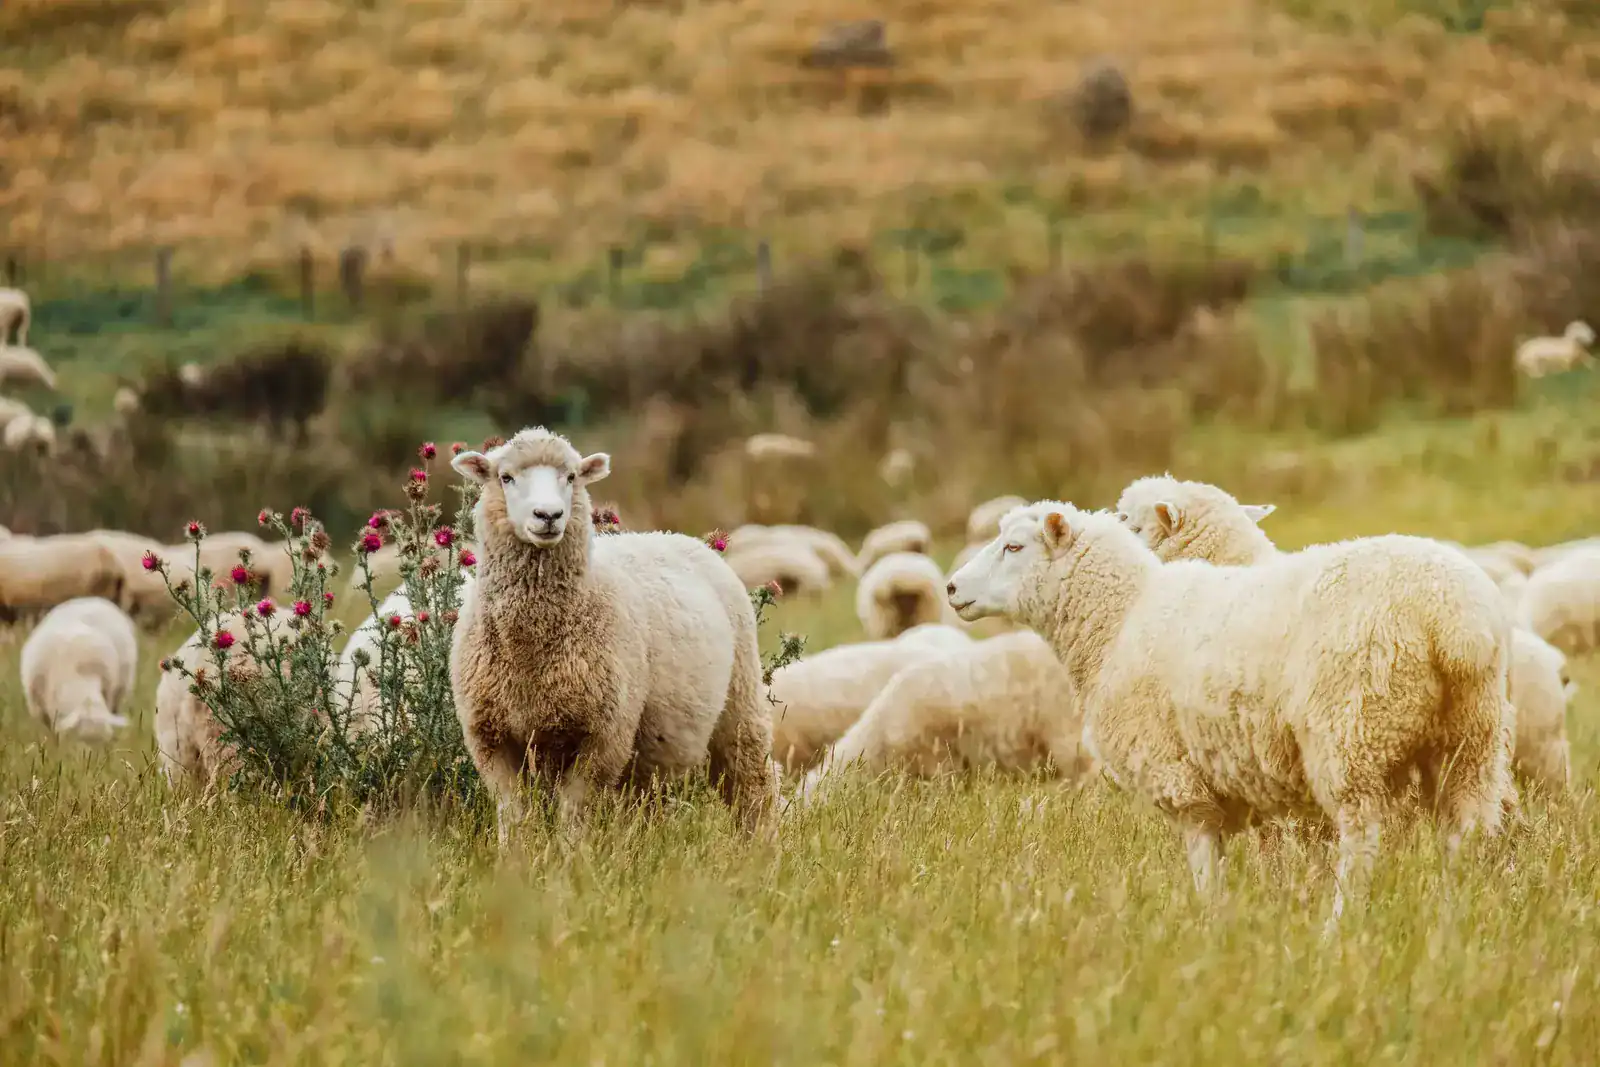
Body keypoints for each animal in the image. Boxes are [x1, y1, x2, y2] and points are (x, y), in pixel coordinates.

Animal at [449, 427, 780, 845]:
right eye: (505, 477)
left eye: (571, 476)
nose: (549, 516)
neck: (530, 653)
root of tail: (675, 536)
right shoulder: (490, 737)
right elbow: (516, 814)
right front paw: (517, 858)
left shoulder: (603, 736)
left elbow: (574, 813)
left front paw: (571, 856)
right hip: (654, 751)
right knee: (649, 802)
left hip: (740, 703)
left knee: (752, 783)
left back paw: (760, 846)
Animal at [948, 500, 1515, 927]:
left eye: (1014, 547)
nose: (952, 588)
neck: (1118, 621)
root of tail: (1454, 618)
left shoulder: (1180, 778)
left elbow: (1204, 865)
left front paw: (1209, 927)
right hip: (1473, 739)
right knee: (1464, 836)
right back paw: (1451, 924)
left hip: (1352, 731)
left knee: (1361, 842)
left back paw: (1338, 929)